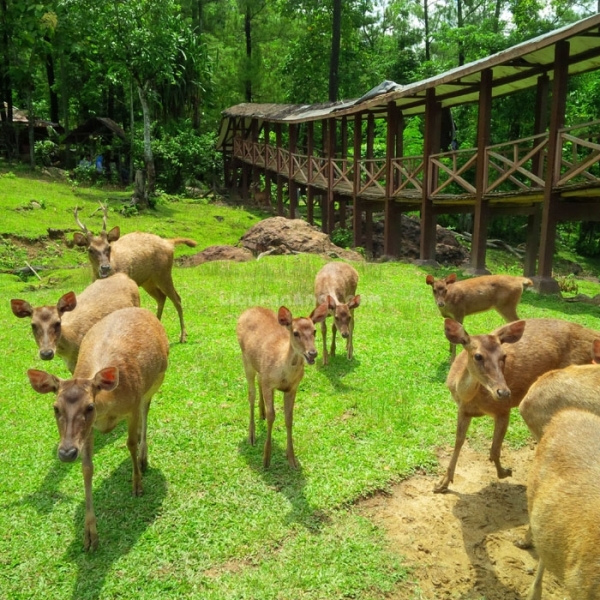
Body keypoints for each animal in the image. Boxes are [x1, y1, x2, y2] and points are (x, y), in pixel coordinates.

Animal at [26, 308, 169, 552]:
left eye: (90, 407)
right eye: (55, 408)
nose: (66, 452)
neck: (108, 406)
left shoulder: (132, 403)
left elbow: (130, 443)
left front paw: (137, 484)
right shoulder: (88, 430)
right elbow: (87, 468)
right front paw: (90, 535)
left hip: (156, 381)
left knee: (146, 410)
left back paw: (144, 458)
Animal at [236, 304, 328, 468]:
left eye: (314, 331)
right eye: (295, 333)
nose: (312, 353)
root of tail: (247, 310)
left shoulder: (292, 388)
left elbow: (289, 418)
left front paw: (292, 459)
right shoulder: (269, 384)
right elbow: (272, 415)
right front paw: (266, 459)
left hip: (259, 367)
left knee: (258, 382)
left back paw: (261, 413)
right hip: (246, 360)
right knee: (251, 394)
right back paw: (251, 435)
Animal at [436, 316, 600, 494]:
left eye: (504, 356)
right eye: (478, 356)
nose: (503, 392)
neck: (471, 399)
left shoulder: (503, 409)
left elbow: (494, 450)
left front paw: (504, 472)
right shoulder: (462, 409)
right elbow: (458, 442)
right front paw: (442, 484)